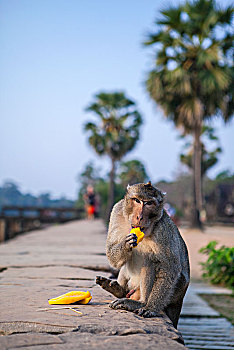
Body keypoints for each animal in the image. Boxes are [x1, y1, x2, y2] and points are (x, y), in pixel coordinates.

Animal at [96, 180, 190, 328]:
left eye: (149, 203)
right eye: (137, 200)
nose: (139, 217)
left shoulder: (163, 229)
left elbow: (170, 268)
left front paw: (151, 308)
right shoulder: (117, 210)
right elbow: (111, 253)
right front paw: (126, 244)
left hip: (176, 290)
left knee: (150, 261)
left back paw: (140, 303)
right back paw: (119, 290)